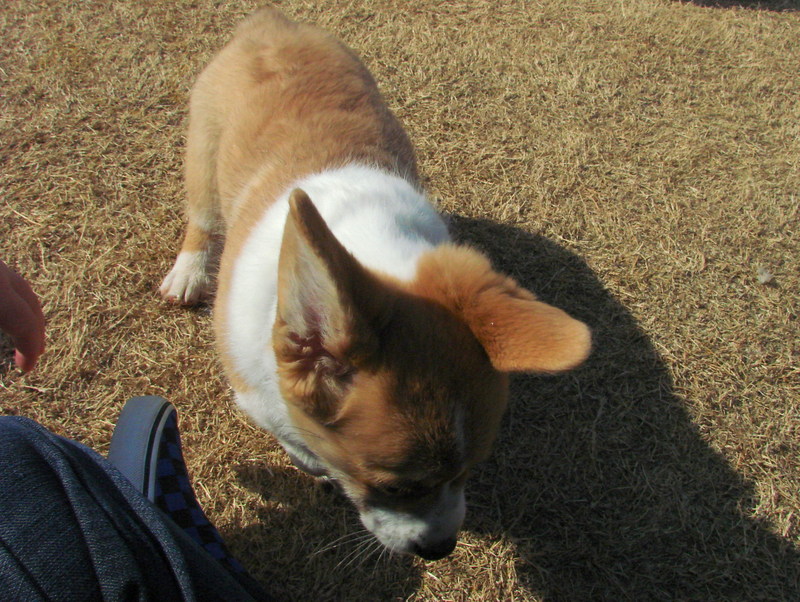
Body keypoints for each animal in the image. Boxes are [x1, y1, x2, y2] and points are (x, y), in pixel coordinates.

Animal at [159, 5, 592, 556]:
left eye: (470, 471)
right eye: (396, 488)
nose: (441, 549)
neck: (366, 248)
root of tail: (269, 23)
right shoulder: (253, 393)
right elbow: (296, 441)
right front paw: (311, 461)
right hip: (204, 153)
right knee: (202, 215)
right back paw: (188, 272)